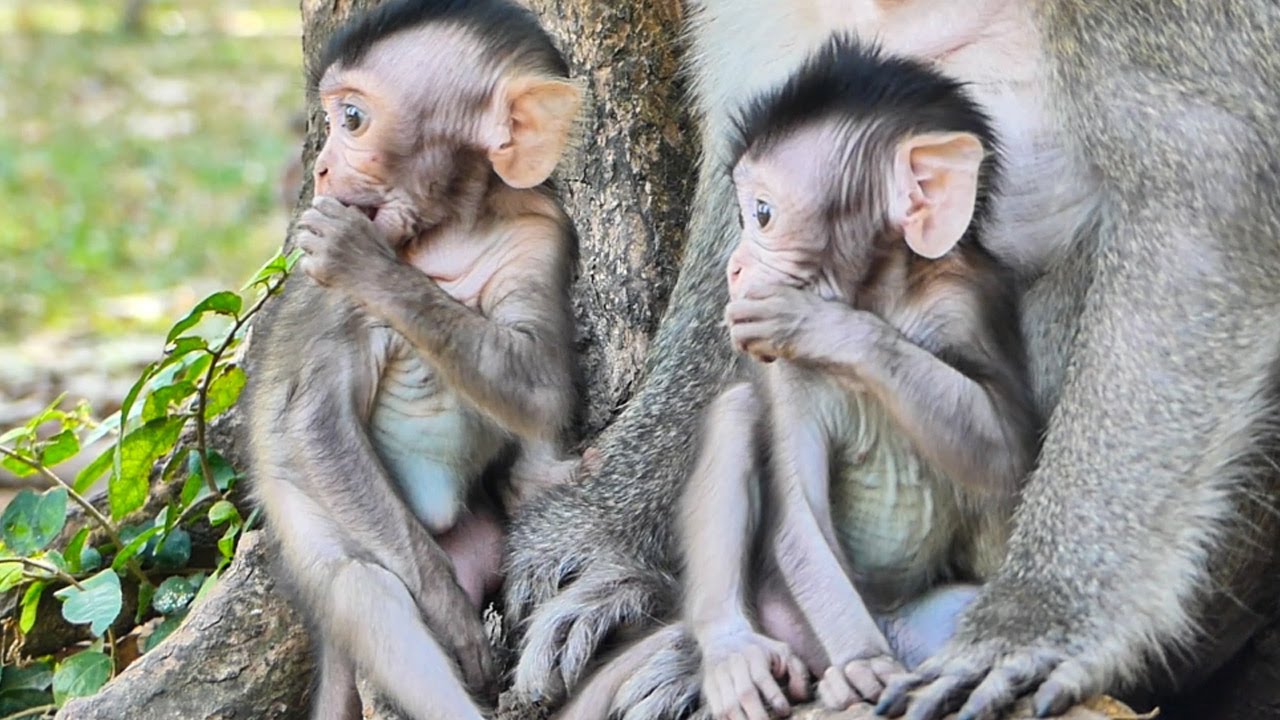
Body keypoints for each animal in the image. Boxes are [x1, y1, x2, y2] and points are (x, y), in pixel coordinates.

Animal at [243, 1, 583, 719]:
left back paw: (535, 484)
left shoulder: (541, 230)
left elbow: (542, 387)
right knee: (364, 587)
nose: (320, 171)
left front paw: (366, 261)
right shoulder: (326, 293)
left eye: (352, 119)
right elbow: (315, 423)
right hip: (316, 535)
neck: (449, 231)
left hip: (477, 536)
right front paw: (450, 616)